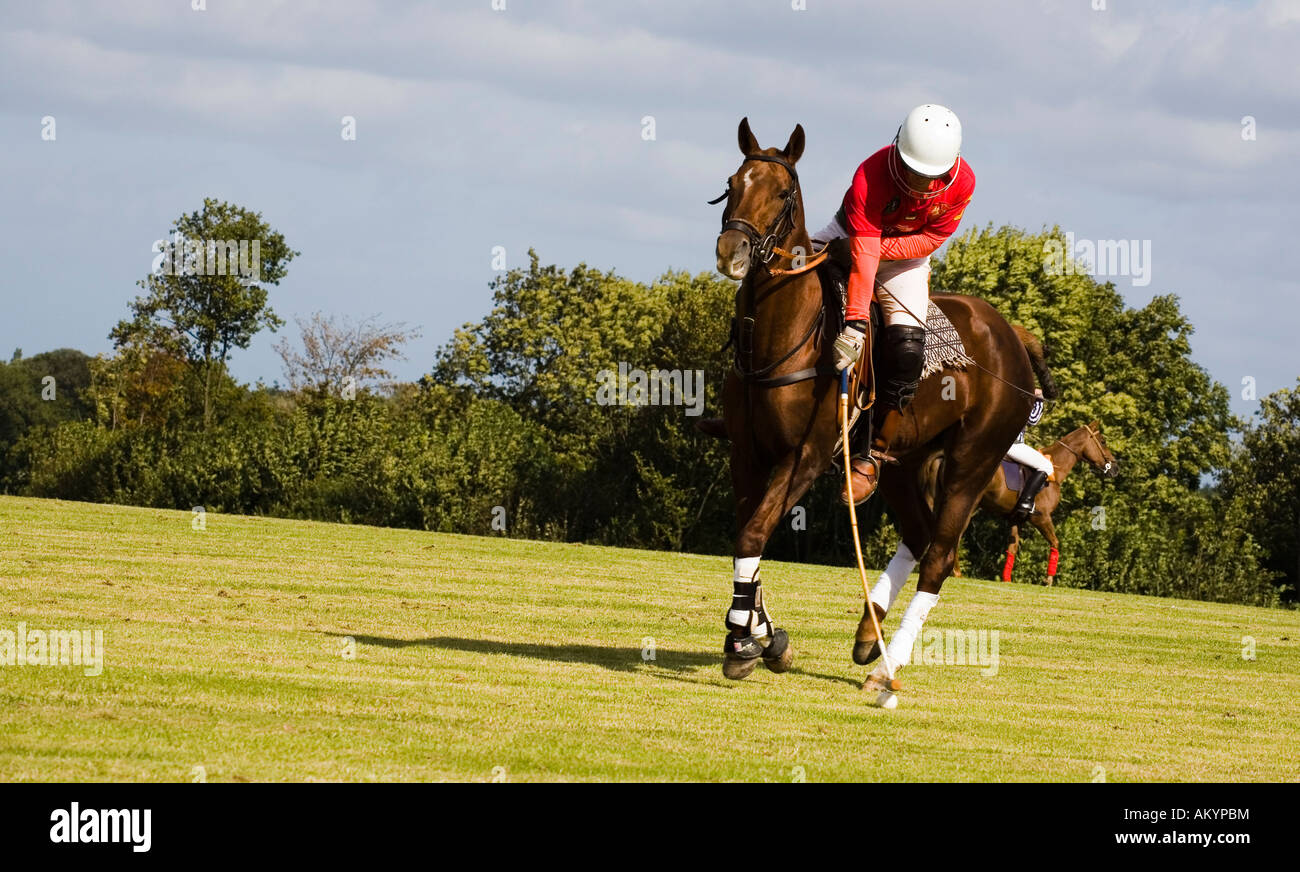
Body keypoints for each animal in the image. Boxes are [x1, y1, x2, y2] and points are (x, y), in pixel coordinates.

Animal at [707, 120, 1050, 696]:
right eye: (731, 183)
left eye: (783, 193)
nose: (732, 252)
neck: (783, 334)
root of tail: (1013, 336)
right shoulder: (746, 455)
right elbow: (744, 537)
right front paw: (764, 637)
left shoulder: (807, 455)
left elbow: (754, 532)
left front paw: (743, 641)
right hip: (905, 463)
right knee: (918, 535)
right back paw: (870, 635)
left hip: (973, 462)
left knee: (940, 555)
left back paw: (888, 670)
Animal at [935, 418, 1118, 582]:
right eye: (1103, 441)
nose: (1115, 468)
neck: (1055, 472)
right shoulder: (1041, 517)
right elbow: (1055, 542)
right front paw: (1048, 579)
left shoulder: (1017, 519)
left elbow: (1012, 548)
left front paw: (1006, 579)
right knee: (955, 535)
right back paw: (956, 572)